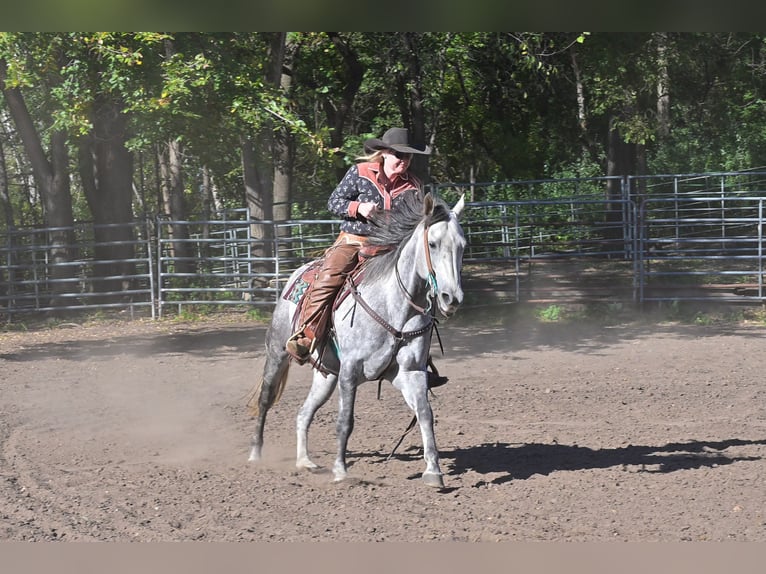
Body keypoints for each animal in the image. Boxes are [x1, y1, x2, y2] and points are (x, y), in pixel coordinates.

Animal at [247, 192, 466, 488]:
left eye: (462, 246)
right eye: (432, 243)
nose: (451, 298)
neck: (394, 307)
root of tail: (295, 275)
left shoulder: (409, 371)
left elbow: (424, 414)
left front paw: (433, 471)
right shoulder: (350, 370)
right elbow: (345, 421)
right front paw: (340, 470)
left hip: (326, 375)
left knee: (304, 412)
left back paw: (305, 461)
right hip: (278, 353)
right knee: (266, 400)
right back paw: (256, 454)